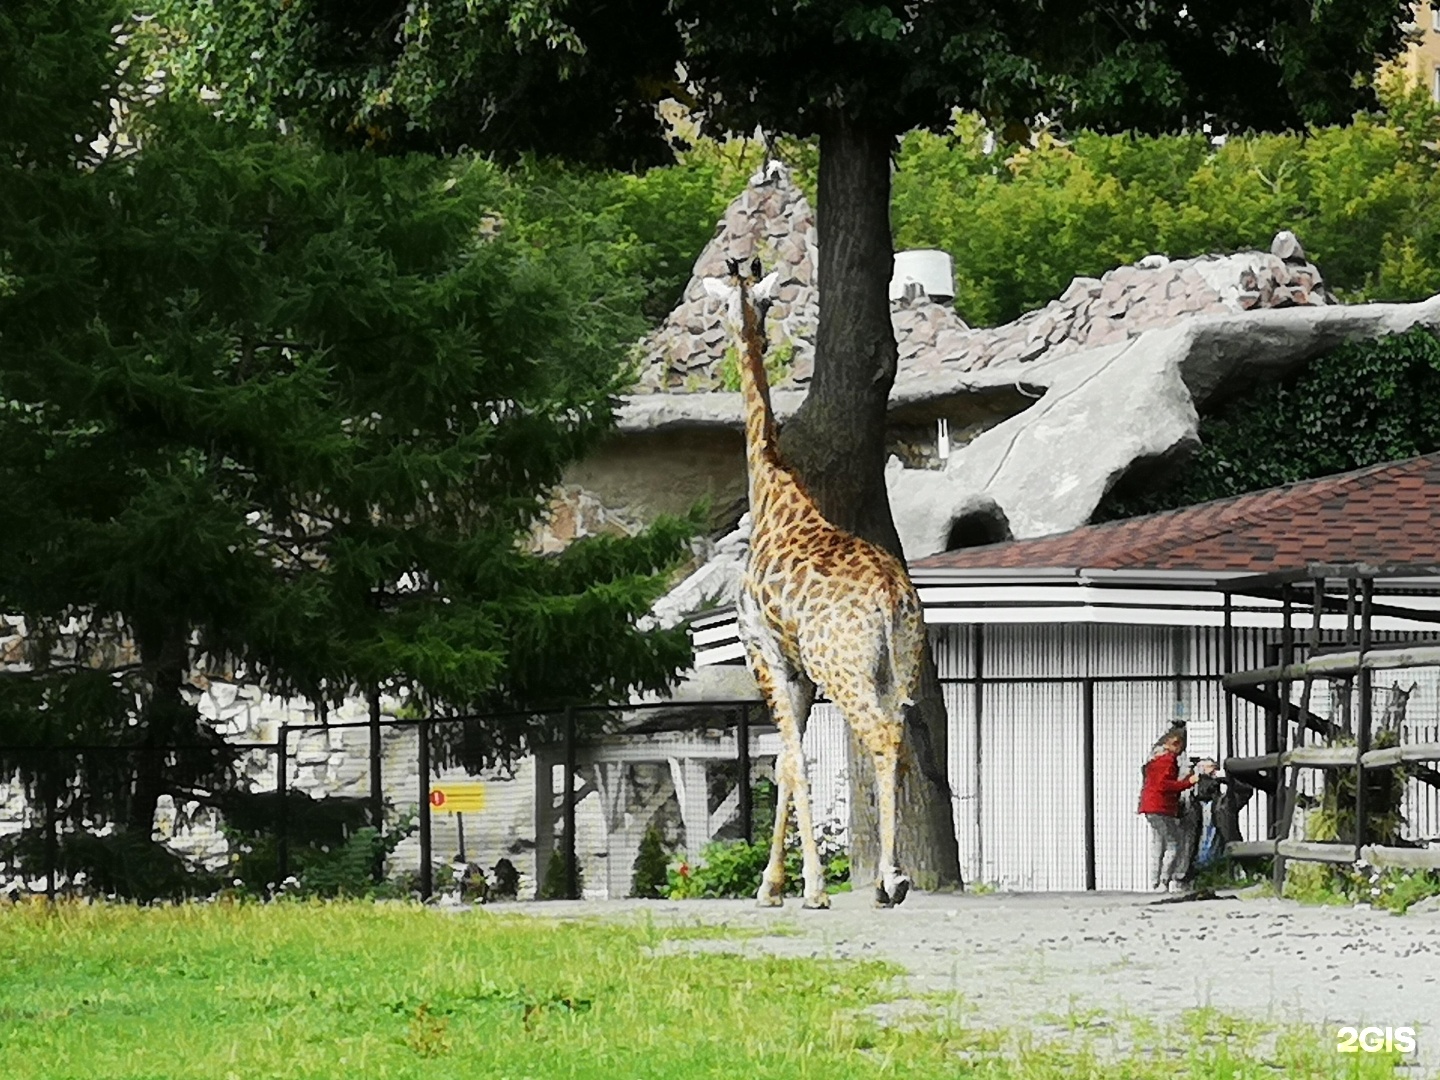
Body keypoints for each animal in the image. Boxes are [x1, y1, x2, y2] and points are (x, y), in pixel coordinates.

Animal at [702, 257, 927, 910]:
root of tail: (890, 597)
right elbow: (784, 764)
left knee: (879, 735)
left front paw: (808, 887)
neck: (774, 493)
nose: (734, 329)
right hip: (899, 664)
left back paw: (889, 882)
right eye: (762, 304)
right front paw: (772, 884)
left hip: (843, 666)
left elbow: (794, 762)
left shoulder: (765, 653)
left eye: (726, 305)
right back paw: (887, 879)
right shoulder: (799, 670)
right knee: (901, 742)